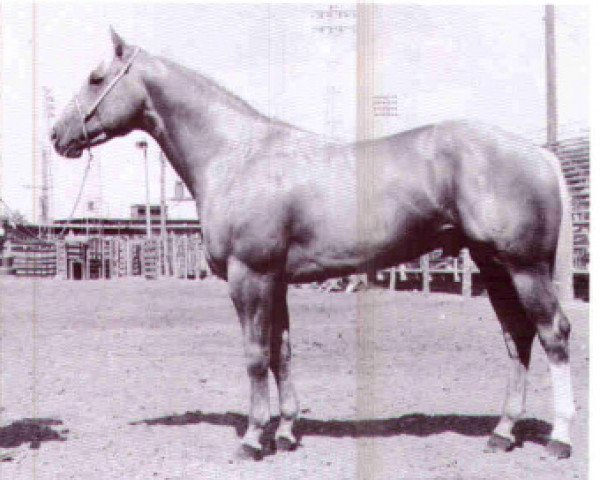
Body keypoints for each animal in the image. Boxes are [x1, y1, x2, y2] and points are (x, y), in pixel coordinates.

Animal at [52, 31, 576, 462]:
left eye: (96, 78)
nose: (58, 136)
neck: (237, 155)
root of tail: (539, 153)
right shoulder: (277, 280)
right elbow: (281, 353)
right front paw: (285, 433)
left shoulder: (250, 275)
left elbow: (255, 355)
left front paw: (252, 439)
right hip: (493, 266)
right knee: (517, 337)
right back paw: (502, 433)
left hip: (524, 266)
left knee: (553, 334)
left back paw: (560, 439)